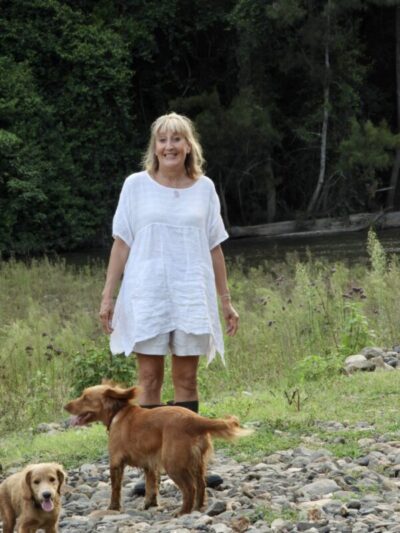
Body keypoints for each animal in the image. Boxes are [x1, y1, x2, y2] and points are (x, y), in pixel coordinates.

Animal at [64, 382, 252, 516]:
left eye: (86, 397)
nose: (65, 406)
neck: (119, 411)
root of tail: (195, 420)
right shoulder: (150, 464)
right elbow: (151, 486)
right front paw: (149, 504)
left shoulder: (116, 462)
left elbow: (115, 489)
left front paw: (113, 508)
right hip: (197, 463)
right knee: (201, 485)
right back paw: (198, 507)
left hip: (173, 464)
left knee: (190, 488)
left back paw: (183, 512)